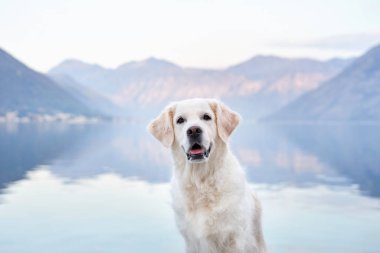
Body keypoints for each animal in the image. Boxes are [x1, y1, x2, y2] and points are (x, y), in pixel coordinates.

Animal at [147, 98, 266, 253]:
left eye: (206, 117)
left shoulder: (234, 239)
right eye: (180, 120)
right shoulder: (192, 241)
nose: (193, 130)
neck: (201, 182)